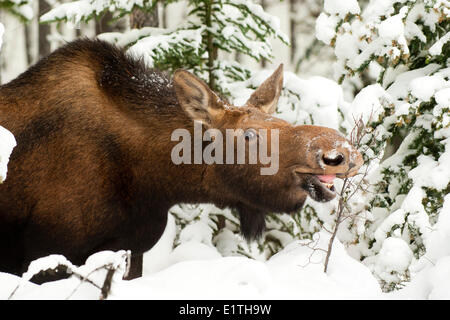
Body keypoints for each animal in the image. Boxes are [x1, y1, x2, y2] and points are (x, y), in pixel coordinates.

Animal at [0, 39, 364, 280]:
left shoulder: (131, 249)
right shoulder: (46, 255)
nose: (339, 152)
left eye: (284, 121)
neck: (153, 183)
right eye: (249, 135)